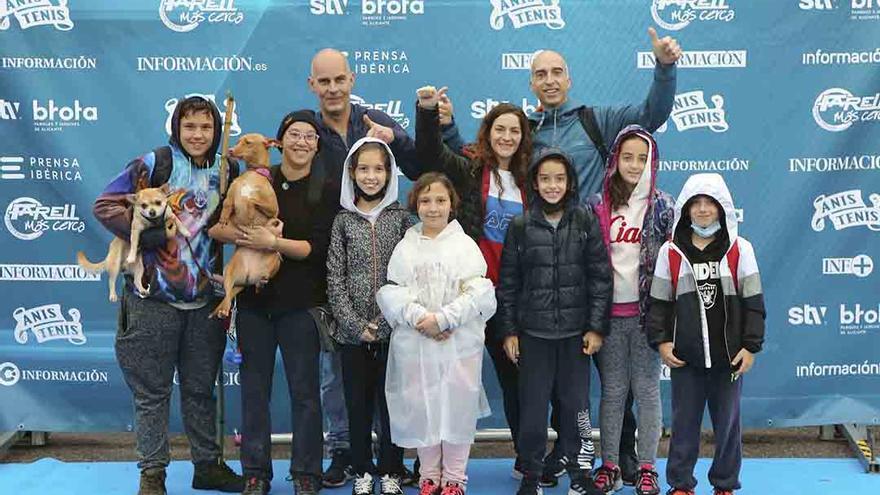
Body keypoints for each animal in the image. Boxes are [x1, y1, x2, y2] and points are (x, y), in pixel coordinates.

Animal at [211, 133, 282, 318]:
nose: (229, 150)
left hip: (276, 261)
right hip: (229, 272)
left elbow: (253, 200)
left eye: (248, 143)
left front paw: (249, 207)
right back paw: (222, 309)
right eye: (238, 141)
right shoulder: (230, 196)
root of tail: (249, 276)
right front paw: (223, 218)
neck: (252, 174)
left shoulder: (273, 210)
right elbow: (228, 204)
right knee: (228, 294)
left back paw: (261, 284)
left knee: (260, 280)